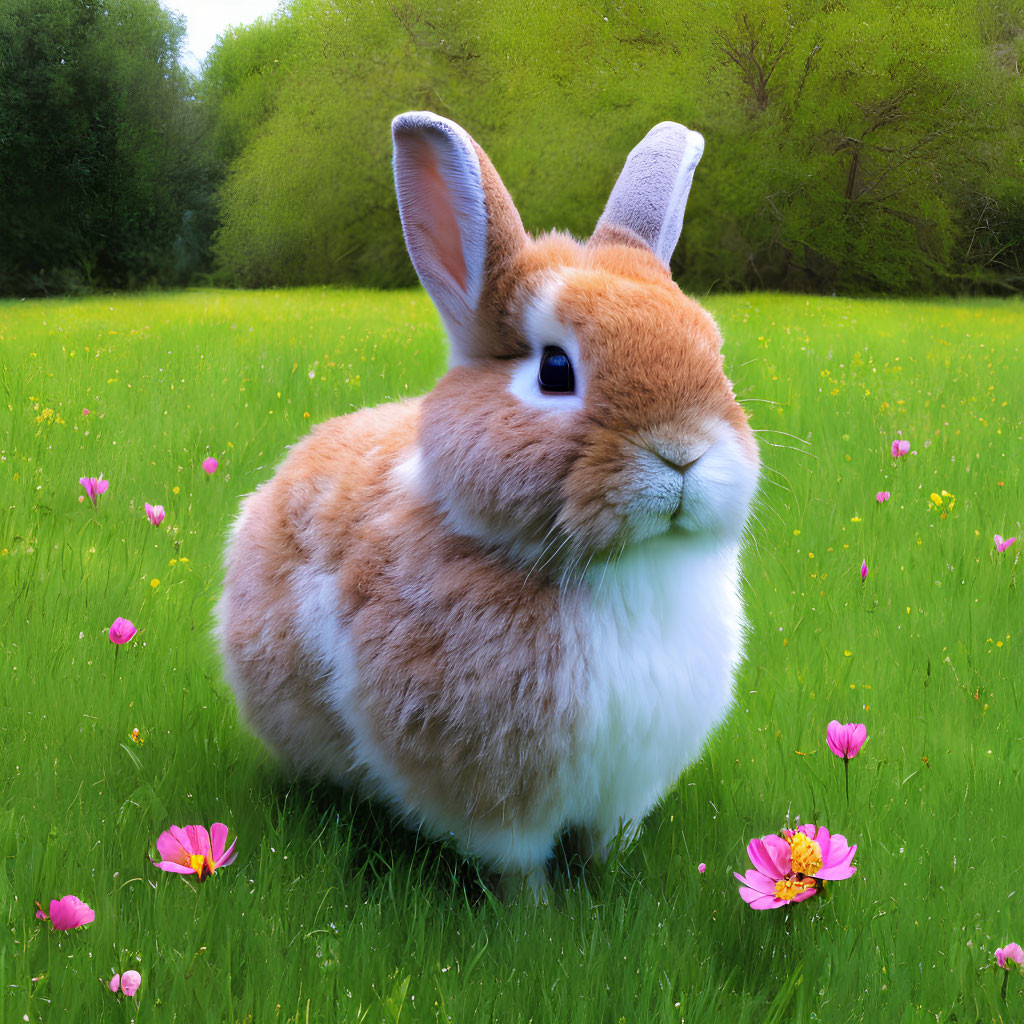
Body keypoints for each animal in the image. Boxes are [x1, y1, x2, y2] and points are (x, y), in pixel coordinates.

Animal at [216, 112, 761, 892]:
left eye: (711, 351)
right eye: (556, 369)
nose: (682, 451)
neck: (620, 573)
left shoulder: (625, 786)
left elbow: (605, 843)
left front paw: (609, 888)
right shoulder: (496, 801)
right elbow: (517, 869)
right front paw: (536, 915)